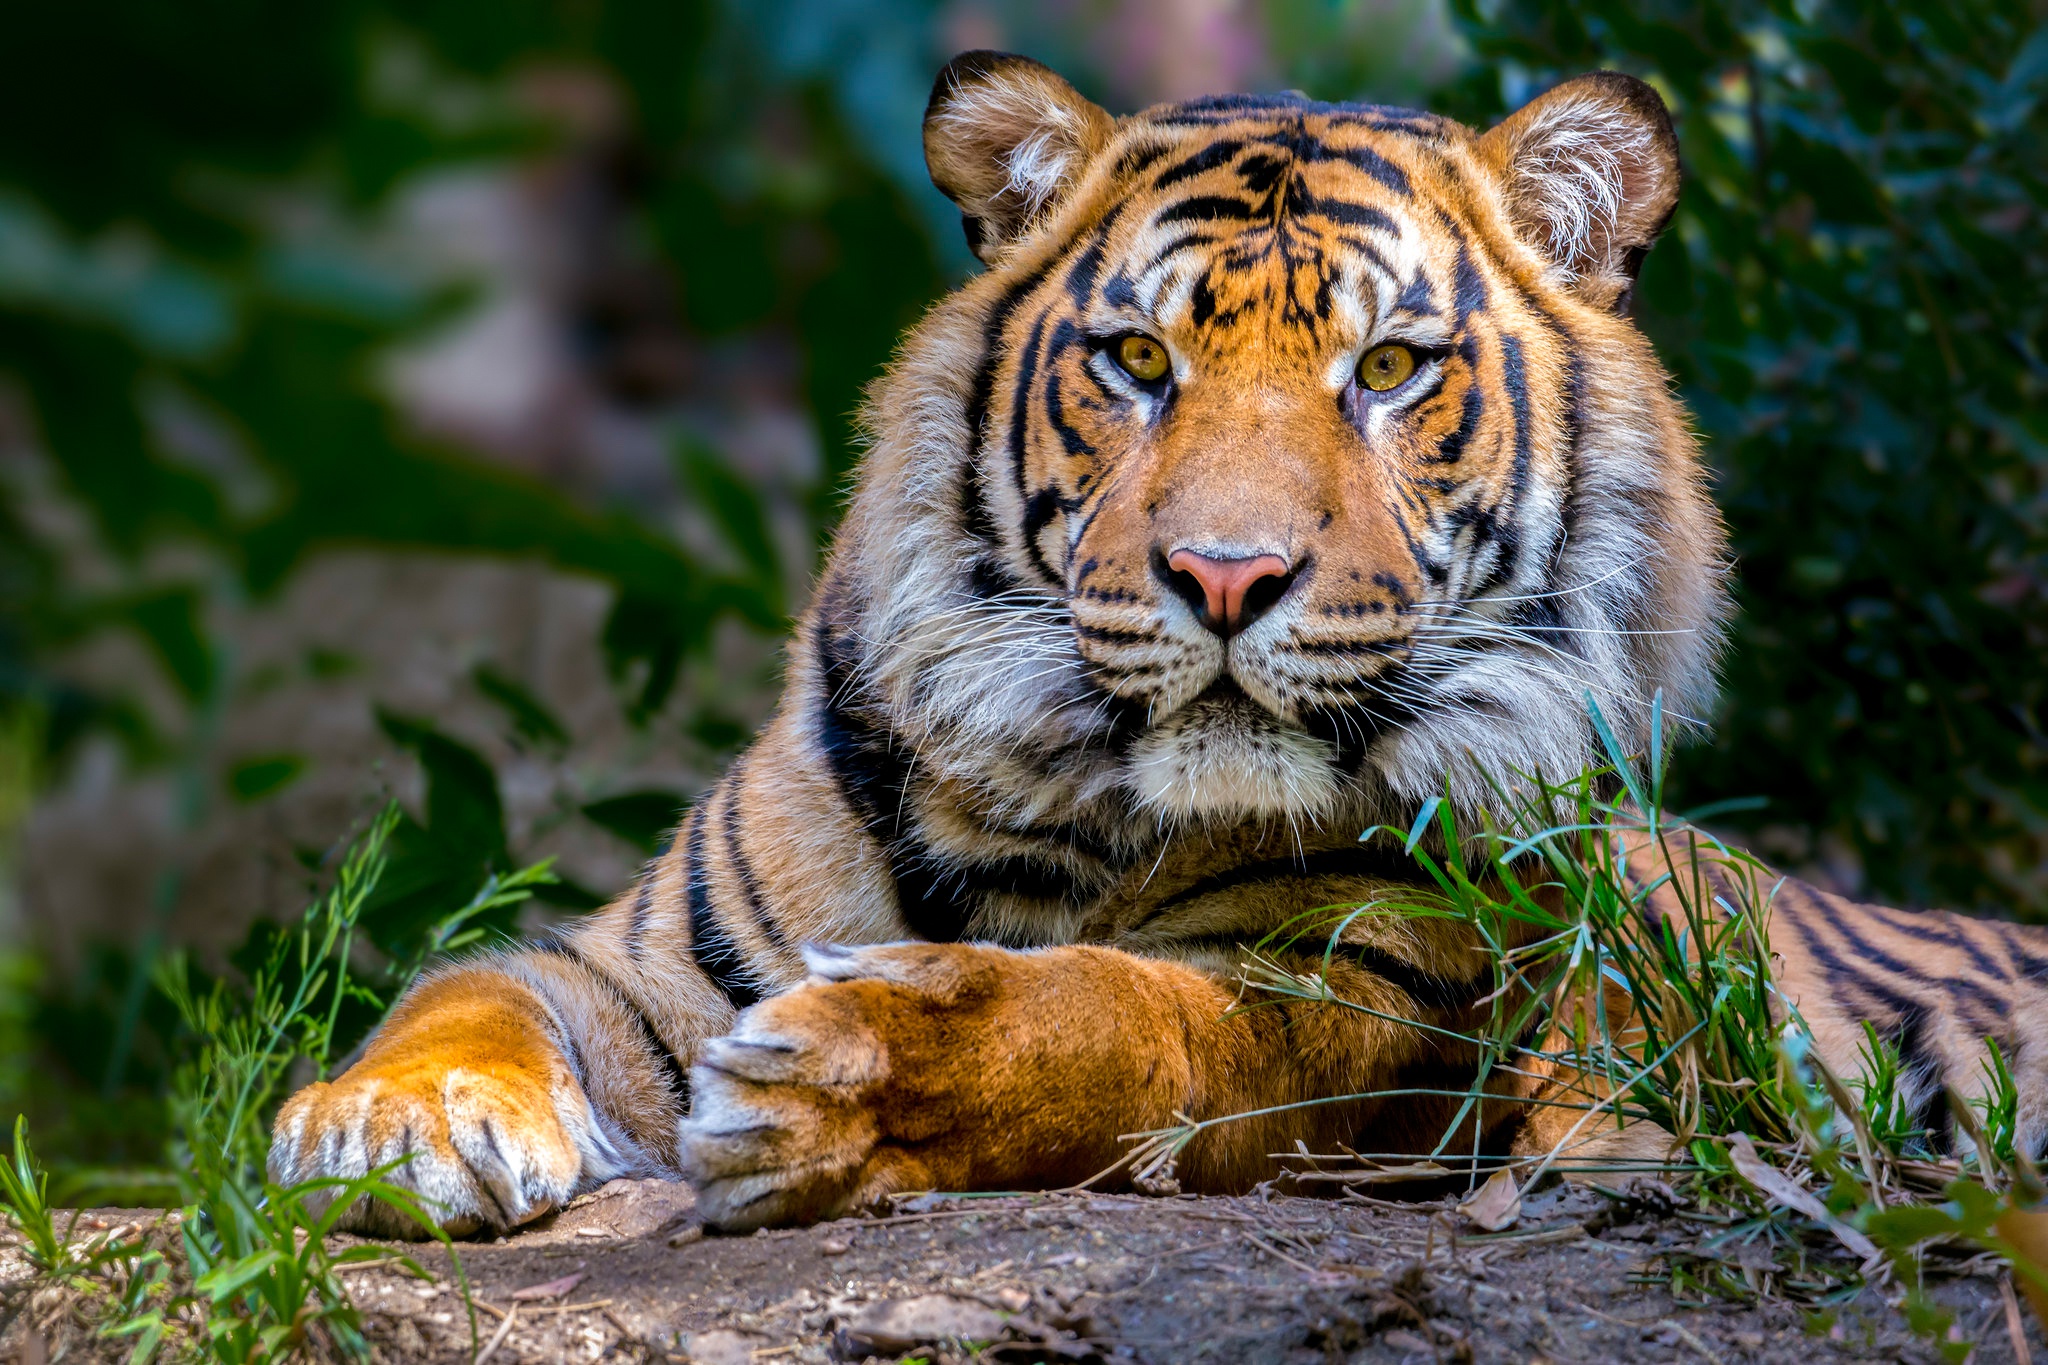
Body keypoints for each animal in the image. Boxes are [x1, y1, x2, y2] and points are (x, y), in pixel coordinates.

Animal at [268, 50, 2048, 1236]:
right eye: (1136, 360)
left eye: (1389, 369)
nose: (1226, 574)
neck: (1055, 811)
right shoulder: (631, 965)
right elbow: (469, 990)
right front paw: (387, 1123)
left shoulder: (1340, 1005)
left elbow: (1109, 1025)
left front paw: (853, 1072)